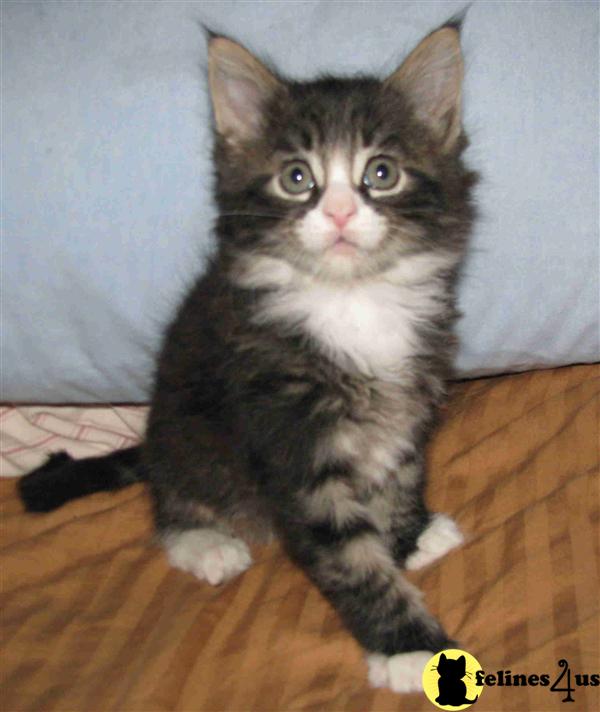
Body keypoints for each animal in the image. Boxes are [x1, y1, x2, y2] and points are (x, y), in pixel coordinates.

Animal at [19, 19, 478, 692]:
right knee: (169, 500)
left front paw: (407, 537)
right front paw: (408, 647)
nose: (340, 212)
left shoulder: (406, 406)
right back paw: (203, 542)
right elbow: (348, 556)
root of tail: (151, 440)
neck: (351, 299)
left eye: (381, 173)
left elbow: (397, 476)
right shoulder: (288, 441)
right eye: (297, 179)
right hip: (185, 432)